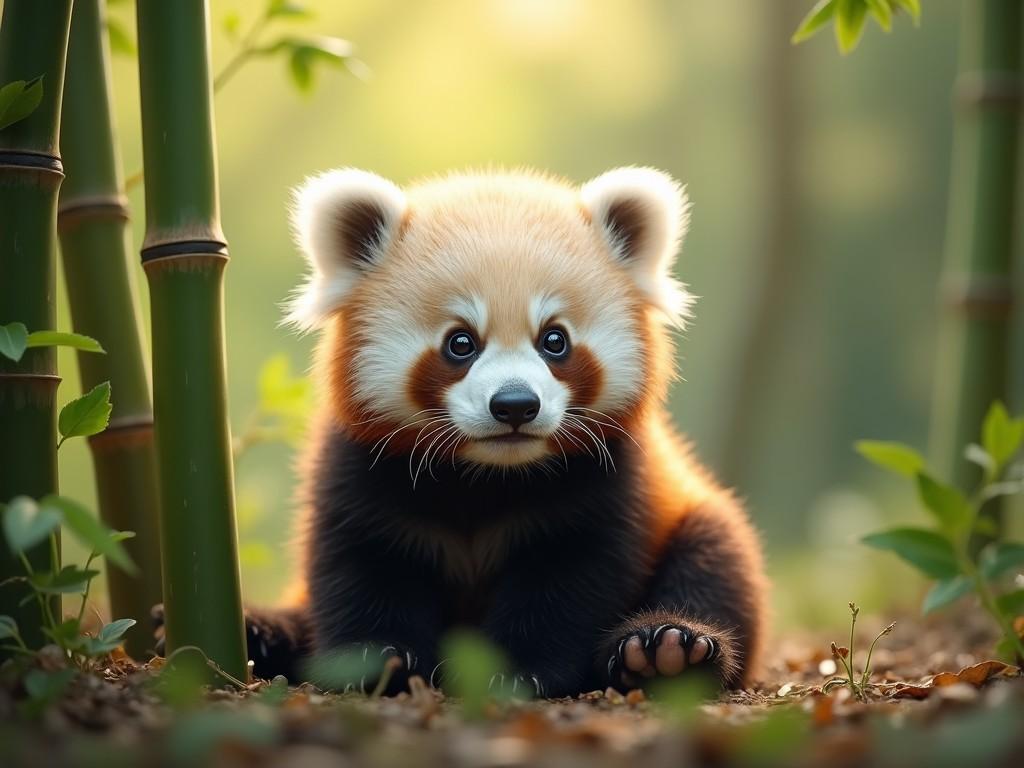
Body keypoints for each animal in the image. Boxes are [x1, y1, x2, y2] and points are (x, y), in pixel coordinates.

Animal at [241, 166, 770, 696]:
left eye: (554, 340)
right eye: (460, 343)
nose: (515, 404)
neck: (488, 475)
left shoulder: (612, 477)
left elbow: (567, 583)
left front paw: (514, 671)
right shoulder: (359, 470)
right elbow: (363, 568)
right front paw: (376, 662)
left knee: (714, 559)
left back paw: (666, 651)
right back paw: (261, 632)